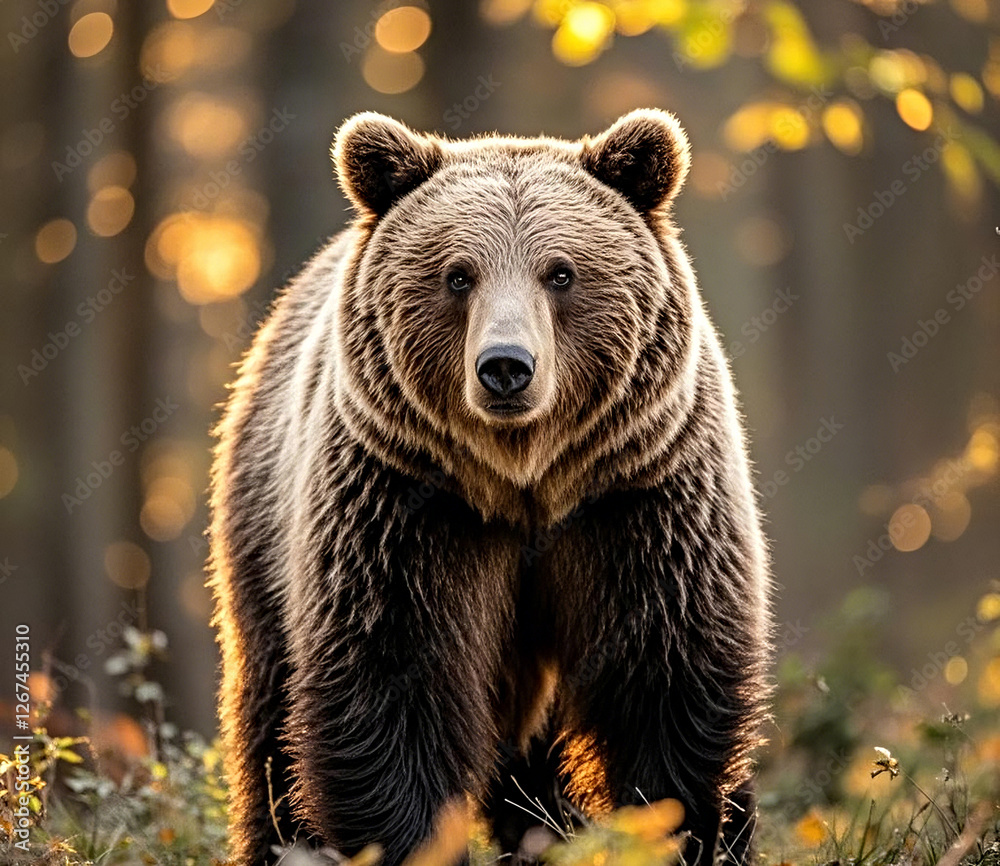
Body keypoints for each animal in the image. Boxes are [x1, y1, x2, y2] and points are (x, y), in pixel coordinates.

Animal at [209, 109, 771, 866]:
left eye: (560, 272)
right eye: (457, 275)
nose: (506, 366)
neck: (526, 481)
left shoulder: (642, 498)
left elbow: (666, 679)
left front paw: (675, 833)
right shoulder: (404, 506)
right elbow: (392, 686)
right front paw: (414, 843)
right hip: (264, 525)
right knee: (271, 721)